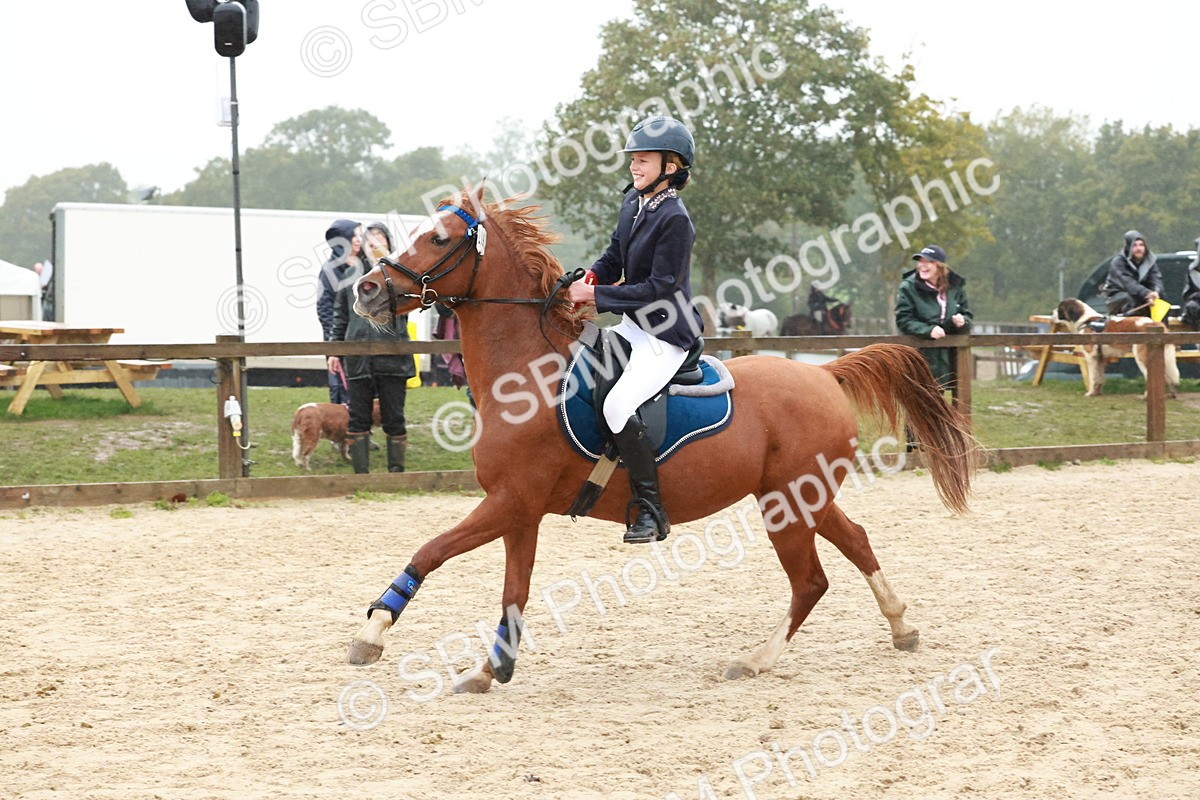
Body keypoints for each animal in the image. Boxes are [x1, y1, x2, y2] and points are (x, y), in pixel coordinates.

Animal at [346, 186, 977, 693]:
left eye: (438, 237)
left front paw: (374, 632)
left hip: (789, 505)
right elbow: (514, 592)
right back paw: (902, 626)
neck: (525, 374)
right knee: (858, 543)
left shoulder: (509, 502)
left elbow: (431, 551)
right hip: (803, 497)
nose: (366, 289)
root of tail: (825, 374)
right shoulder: (520, 511)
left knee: (810, 581)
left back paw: (755, 660)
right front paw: (490, 669)